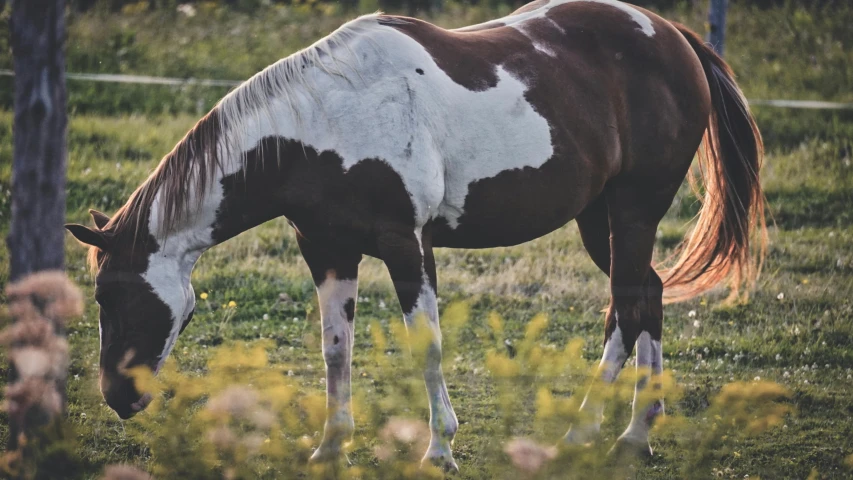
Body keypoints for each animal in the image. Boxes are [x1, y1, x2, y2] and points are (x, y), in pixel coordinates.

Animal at [63, 0, 764, 470]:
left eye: (109, 297)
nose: (118, 398)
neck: (320, 125)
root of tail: (672, 35)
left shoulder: (407, 244)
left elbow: (426, 345)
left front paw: (439, 450)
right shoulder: (328, 250)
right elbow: (334, 350)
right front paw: (330, 447)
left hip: (634, 211)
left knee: (628, 304)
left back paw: (591, 435)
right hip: (601, 219)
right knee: (646, 296)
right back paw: (635, 434)